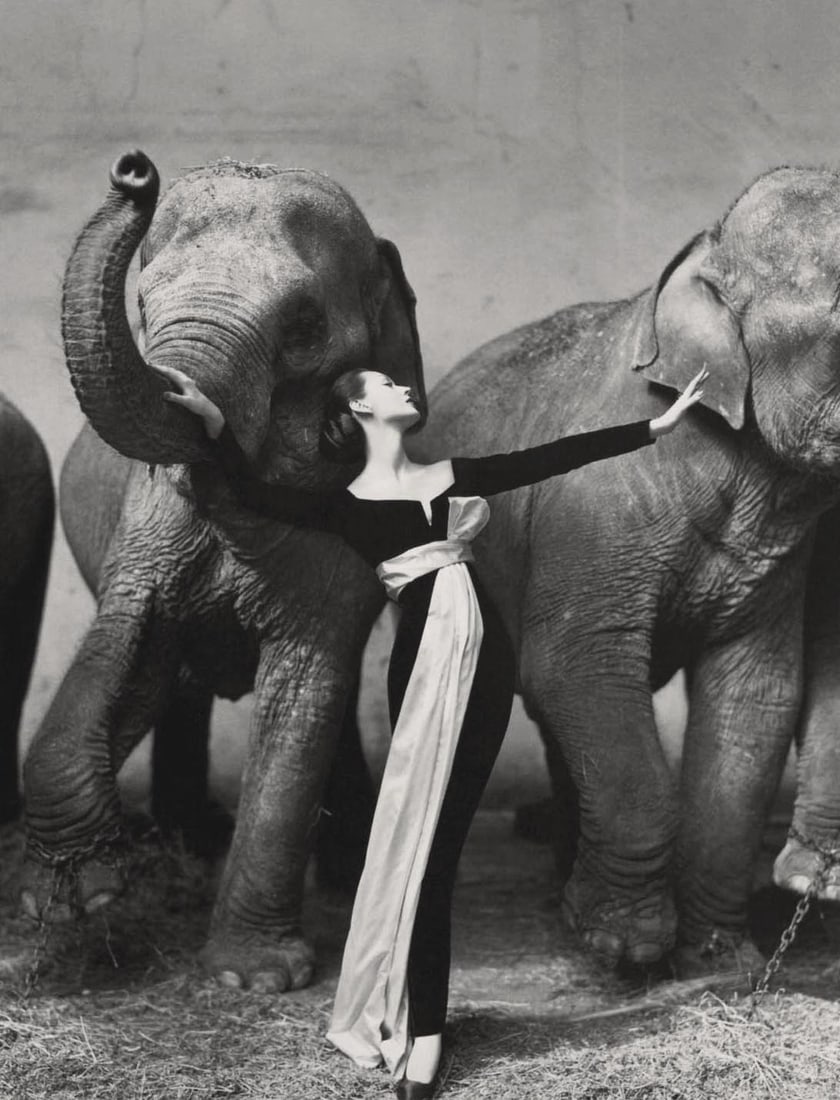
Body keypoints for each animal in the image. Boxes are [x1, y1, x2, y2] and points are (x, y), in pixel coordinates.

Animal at [20, 149, 424, 990]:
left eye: (303, 326)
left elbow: (305, 689)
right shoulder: (147, 526)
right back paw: (192, 841)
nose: (134, 171)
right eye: (142, 303)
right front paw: (77, 900)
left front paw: (251, 979)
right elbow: (126, 645)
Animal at [408, 166, 840, 971]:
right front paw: (621, 945)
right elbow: (577, 662)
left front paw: (720, 957)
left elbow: (755, 693)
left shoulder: (777, 558)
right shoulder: (594, 508)